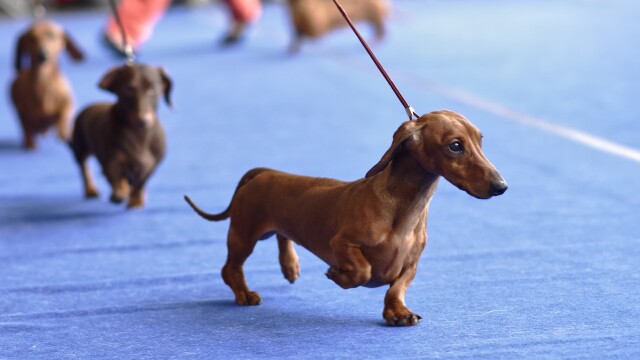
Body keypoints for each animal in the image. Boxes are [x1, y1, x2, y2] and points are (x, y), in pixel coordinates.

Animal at [10, 20, 84, 149]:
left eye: (52, 35)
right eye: (31, 38)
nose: (42, 55)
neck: (44, 84)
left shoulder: (68, 104)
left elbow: (63, 117)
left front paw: (63, 133)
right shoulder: (22, 112)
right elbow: (26, 127)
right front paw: (30, 143)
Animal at [69, 64, 172, 208]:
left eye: (152, 88)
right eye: (127, 89)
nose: (143, 120)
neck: (138, 136)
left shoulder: (151, 167)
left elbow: (140, 183)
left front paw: (136, 200)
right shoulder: (112, 161)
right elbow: (116, 177)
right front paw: (120, 192)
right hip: (80, 149)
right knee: (84, 167)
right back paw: (91, 189)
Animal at [185, 110, 510, 326]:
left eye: (480, 141)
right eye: (455, 145)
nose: (501, 186)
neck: (406, 210)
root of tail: (263, 173)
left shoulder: (412, 264)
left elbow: (396, 288)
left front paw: (397, 312)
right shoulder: (342, 243)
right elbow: (363, 271)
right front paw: (339, 276)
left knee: (281, 237)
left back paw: (290, 265)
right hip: (244, 234)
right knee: (230, 268)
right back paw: (244, 293)